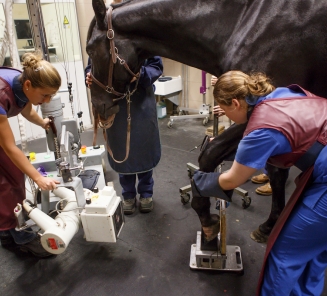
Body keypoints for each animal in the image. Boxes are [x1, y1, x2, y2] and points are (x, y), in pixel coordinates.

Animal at [86, 0, 327, 243]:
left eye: (89, 49)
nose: (97, 106)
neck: (244, 23)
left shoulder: (261, 115)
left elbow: (209, 153)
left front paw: (206, 215)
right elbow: (277, 173)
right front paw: (269, 226)